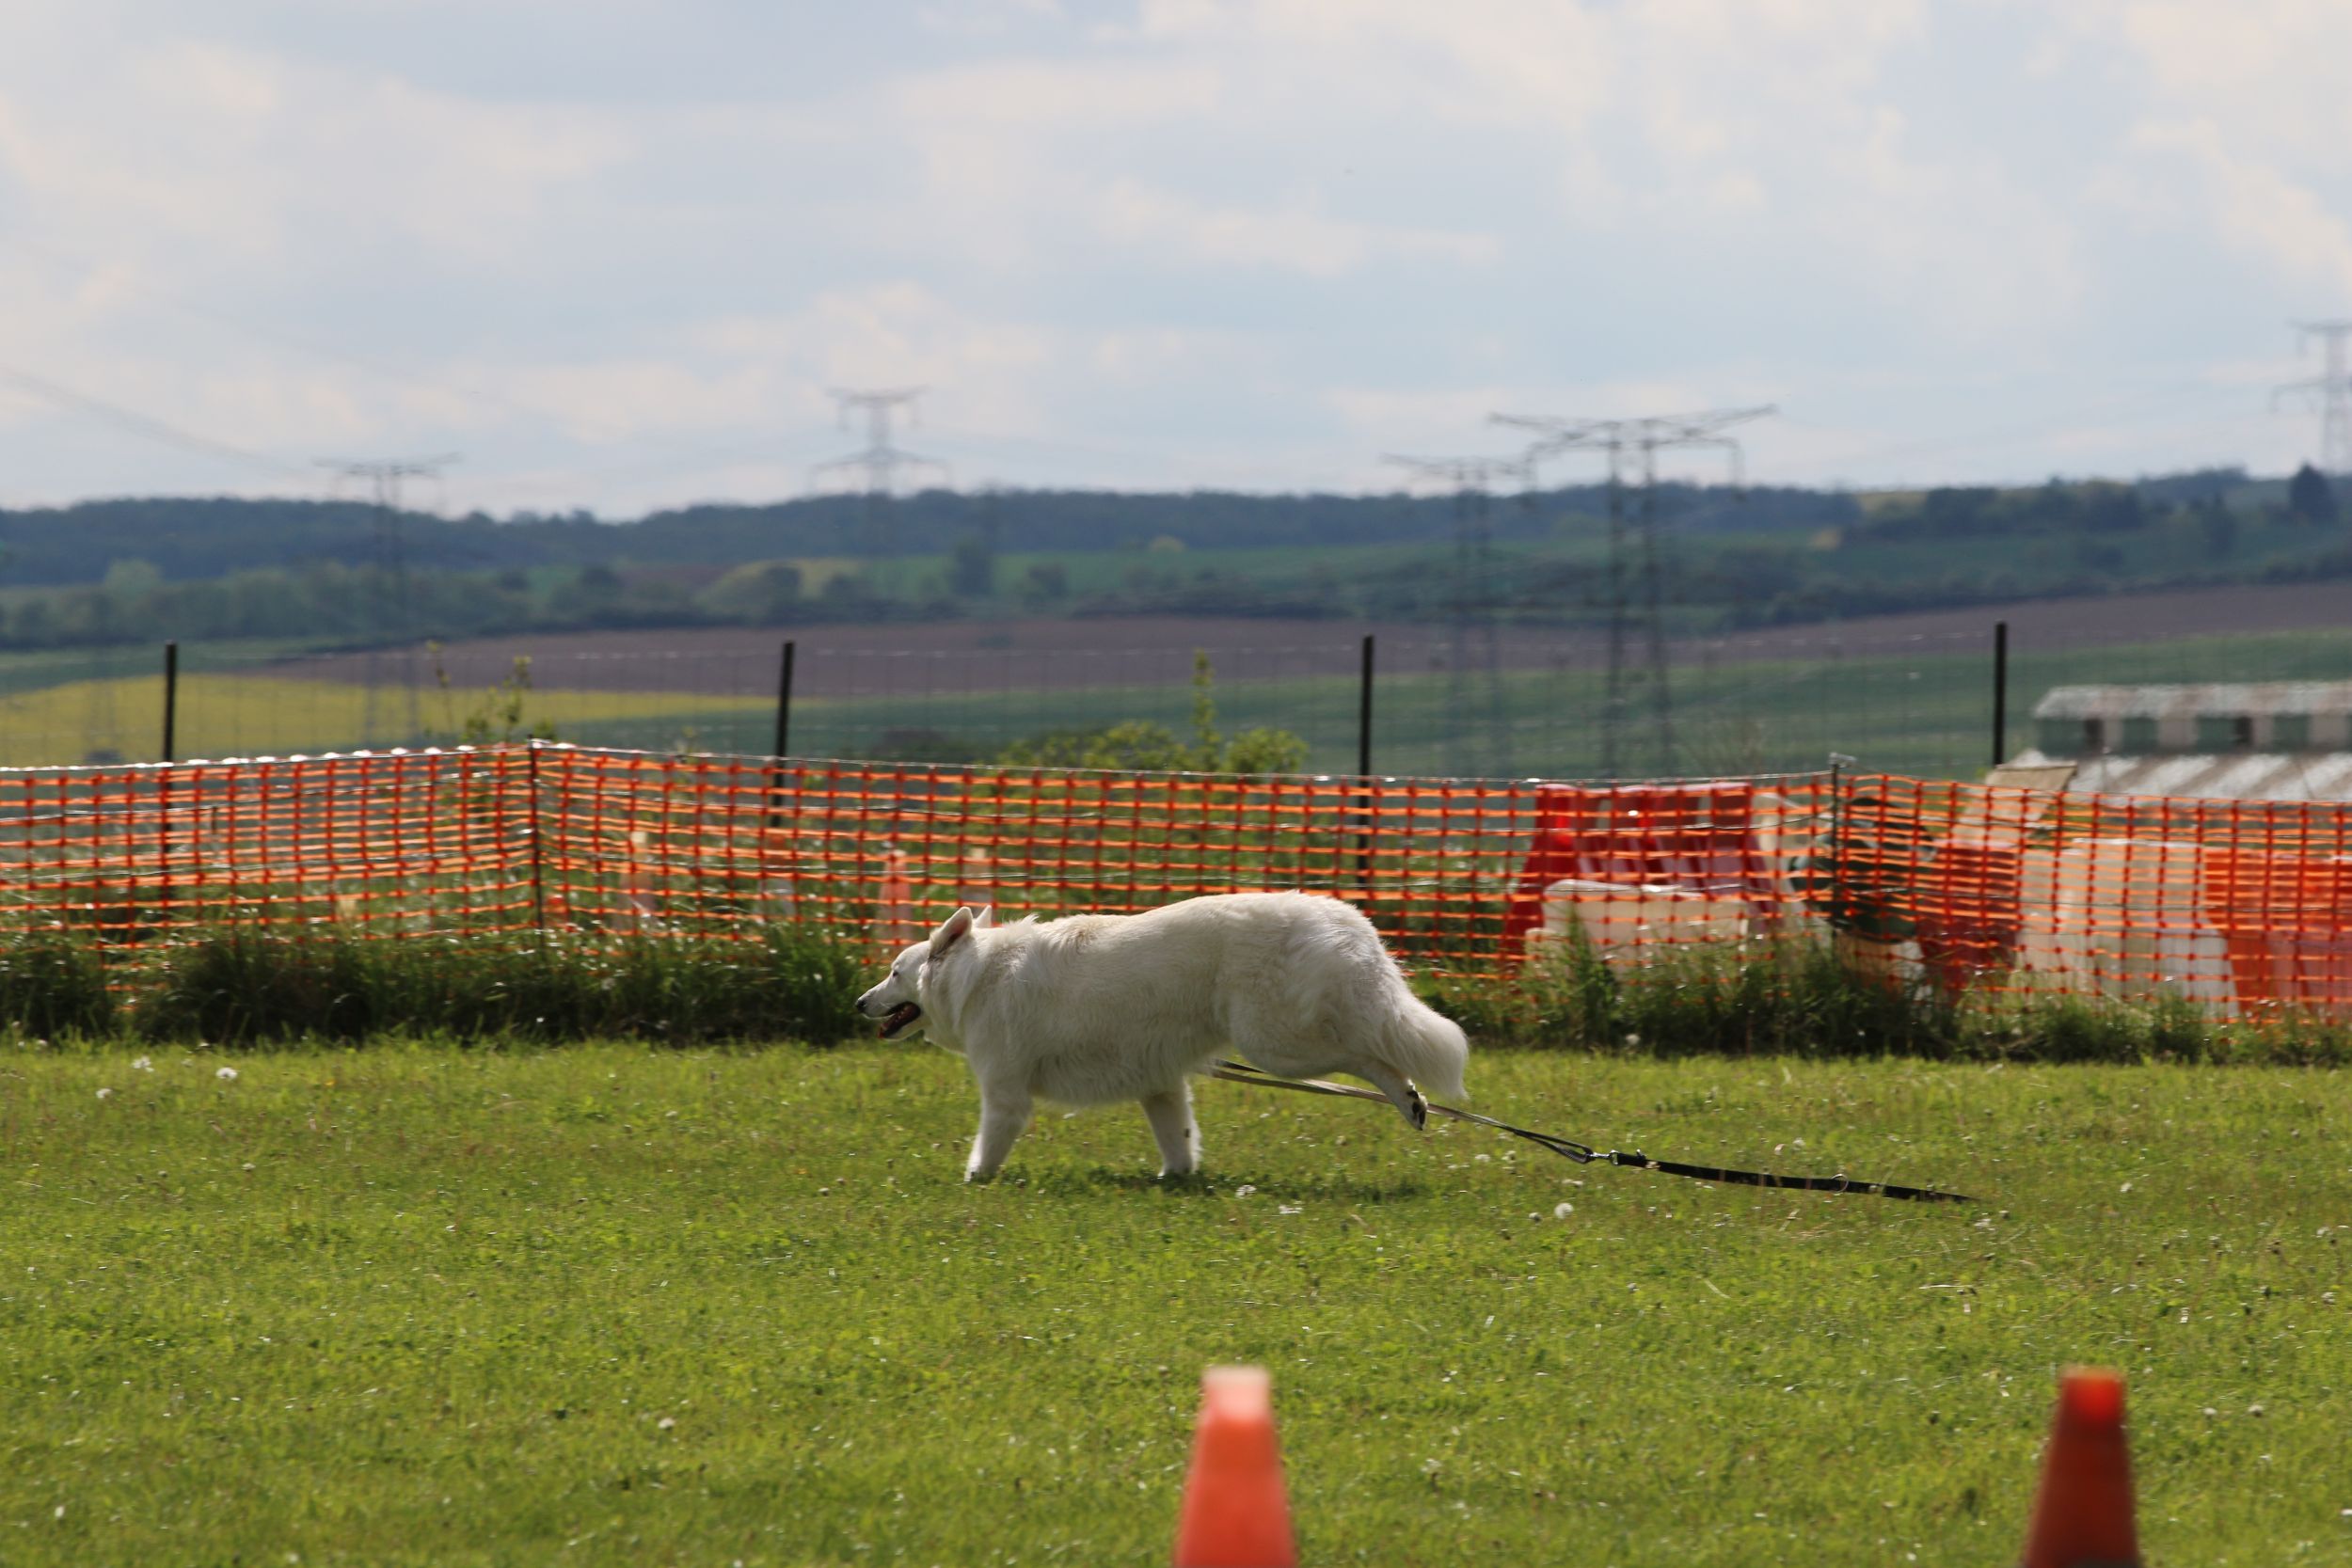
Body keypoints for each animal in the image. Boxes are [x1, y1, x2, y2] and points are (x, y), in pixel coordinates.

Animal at [854, 891, 1470, 1183]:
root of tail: (1343, 921)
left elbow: (985, 1150)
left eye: (894, 972)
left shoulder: (1004, 1097)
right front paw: (1176, 1180)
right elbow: (1178, 1142)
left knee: (1370, 1057)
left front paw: (973, 1181)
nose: (859, 1004)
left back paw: (1409, 1099)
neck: (978, 975)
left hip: (1277, 1045)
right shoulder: (1161, 1086)